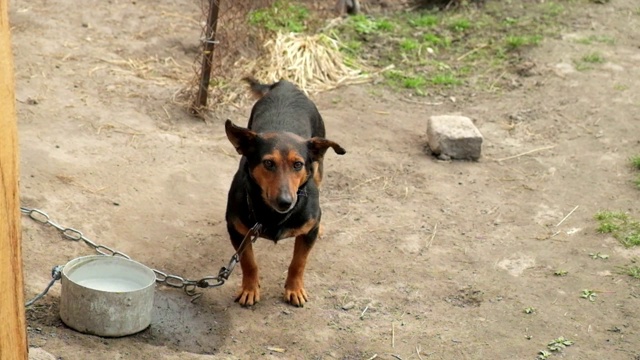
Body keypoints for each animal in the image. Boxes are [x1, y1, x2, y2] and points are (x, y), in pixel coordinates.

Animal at [224, 76, 344, 306]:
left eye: (298, 165)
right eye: (268, 163)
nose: (285, 202)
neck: (272, 215)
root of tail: (285, 84)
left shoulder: (307, 233)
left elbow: (299, 262)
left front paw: (294, 289)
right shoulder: (236, 230)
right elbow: (248, 262)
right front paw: (250, 289)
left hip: (319, 167)